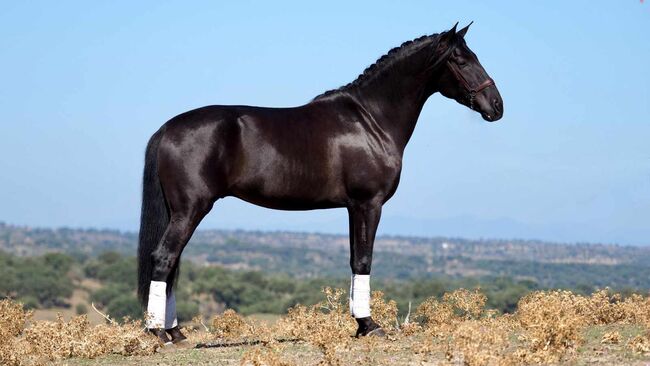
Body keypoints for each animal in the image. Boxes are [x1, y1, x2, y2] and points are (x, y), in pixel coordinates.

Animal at [135, 22, 502, 344]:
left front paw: (360, 325)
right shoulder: (368, 203)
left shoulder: (354, 207)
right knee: (164, 259)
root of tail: (167, 128)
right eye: (462, 60)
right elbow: (364, 260)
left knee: (171, 264)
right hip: (190, 210)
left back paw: (175, 332)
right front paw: (370, 326)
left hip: (180, 212)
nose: (497, 106)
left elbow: (355, 259)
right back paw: (159, 333)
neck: (371, 120)